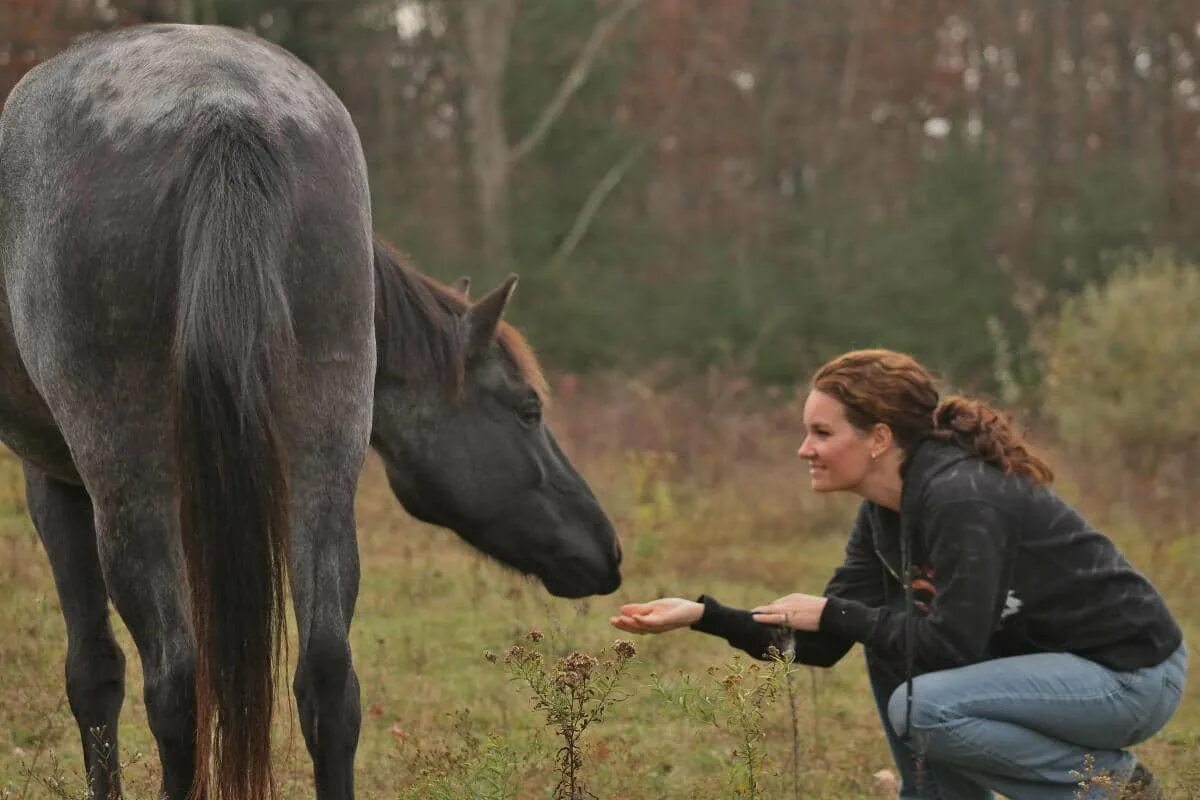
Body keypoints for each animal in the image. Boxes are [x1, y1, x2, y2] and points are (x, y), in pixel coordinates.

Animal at [0, 21, 619, 800]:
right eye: (529, 409)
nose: (607, 550)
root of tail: (225, 114)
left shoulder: (55, 483)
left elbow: (94, 675)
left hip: (131, 485)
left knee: (175, 683)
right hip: (321, 466)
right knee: (327, 678)